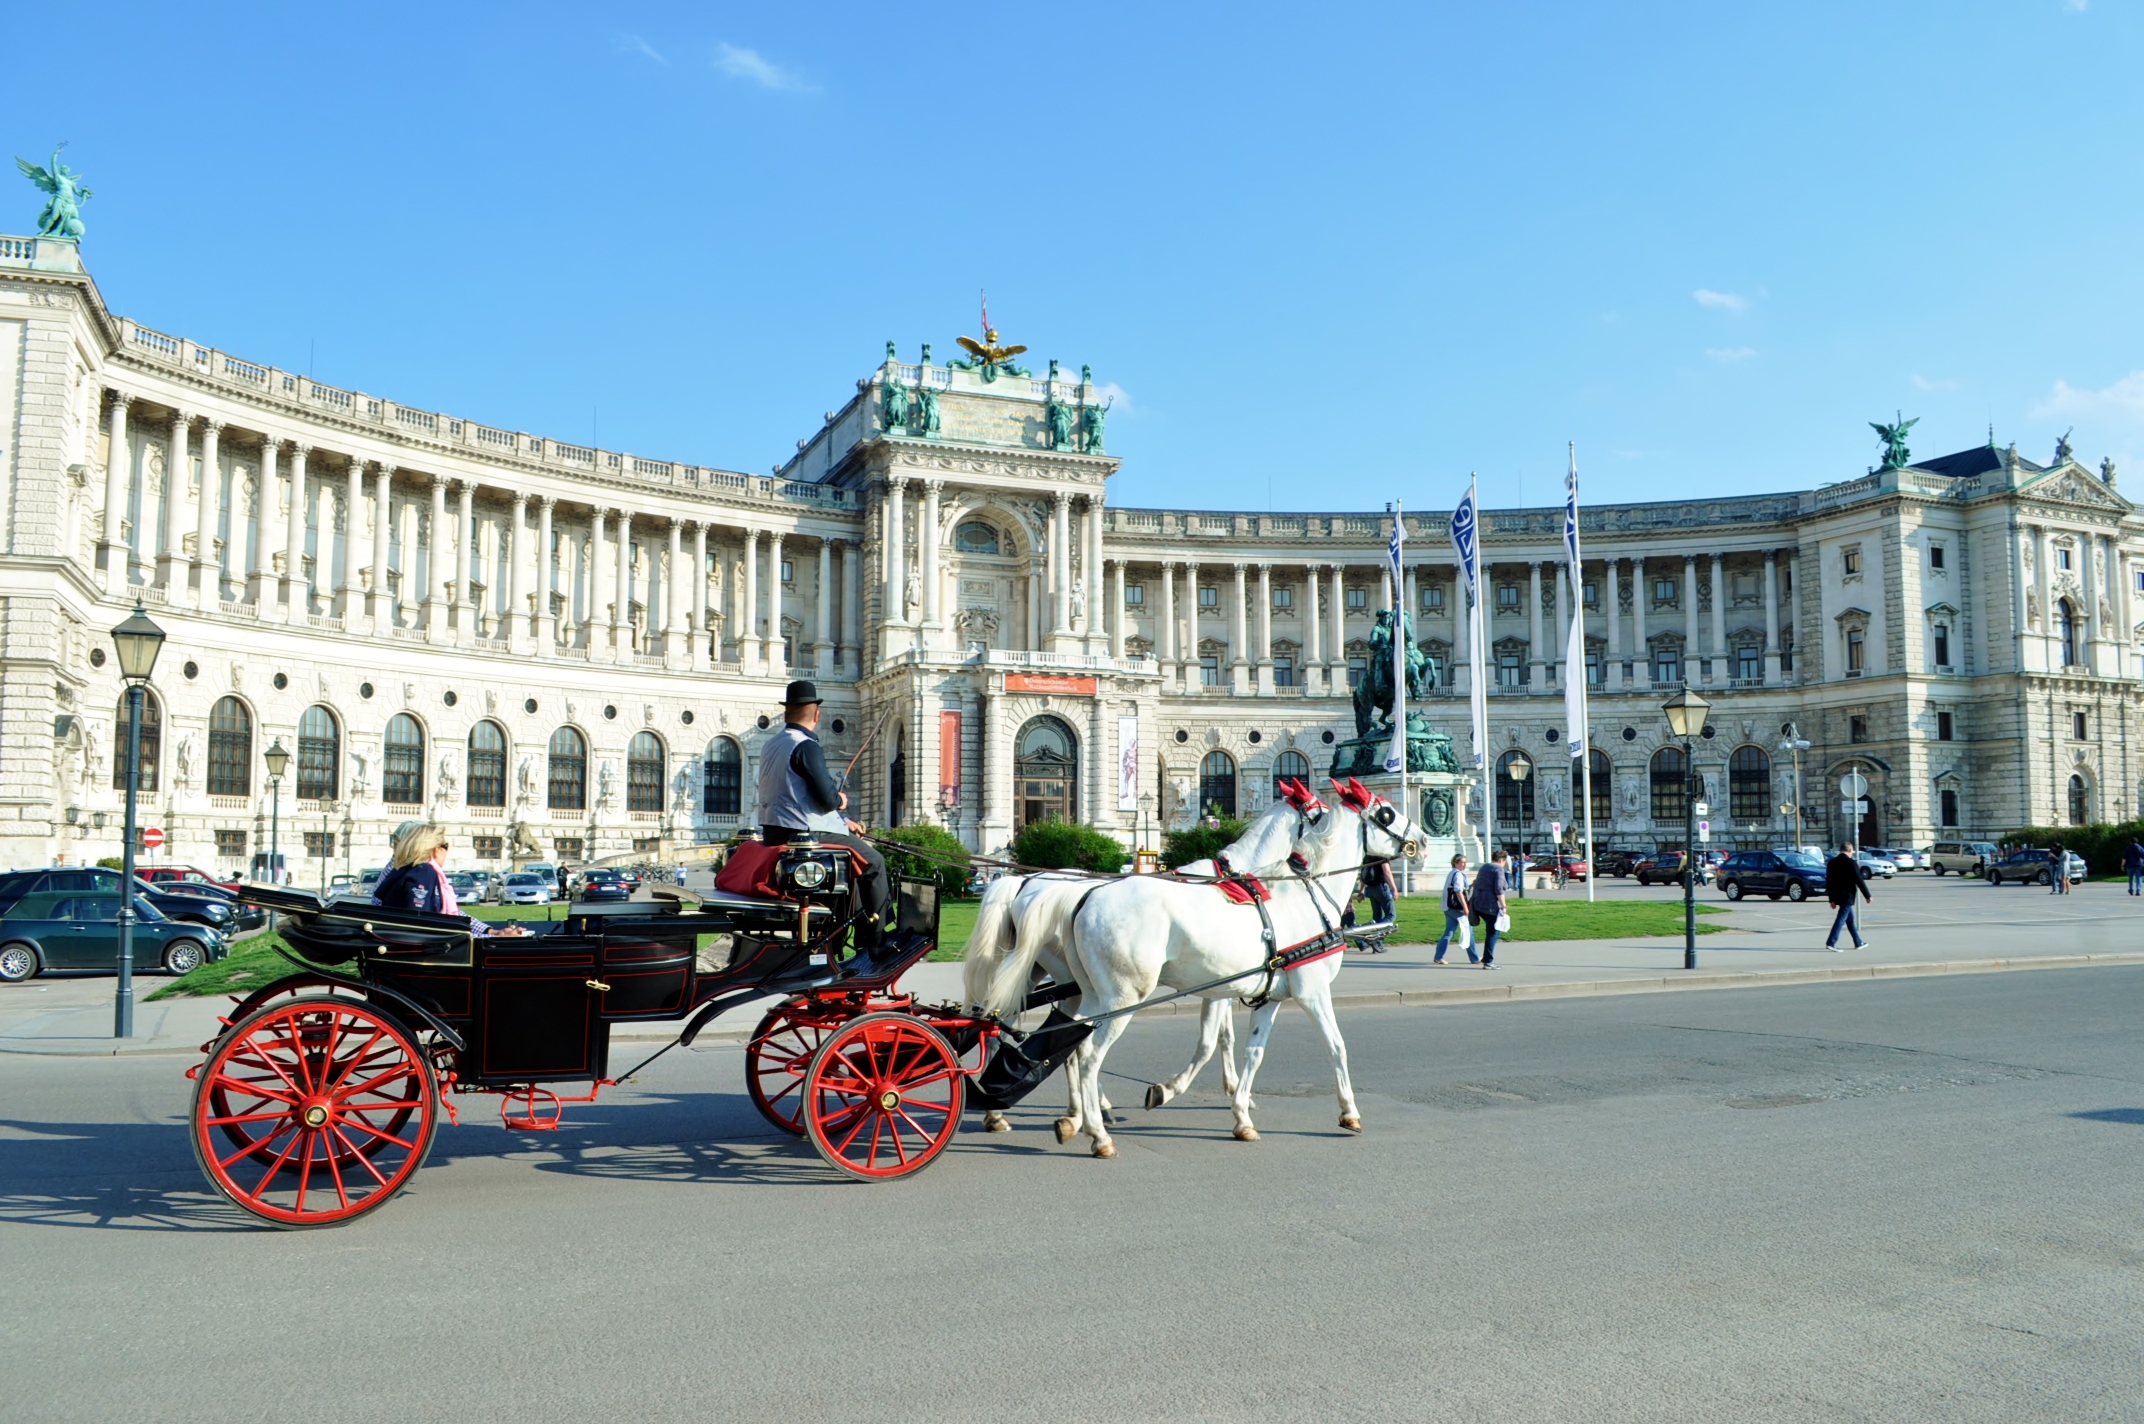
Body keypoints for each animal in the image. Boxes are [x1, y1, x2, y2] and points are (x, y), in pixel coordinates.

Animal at [973, 780, 1423, 1158]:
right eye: (1386, 812)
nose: (1421, 841)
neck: (1299, 893)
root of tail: (1075, 895)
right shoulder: (1307, 991)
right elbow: (1332, 1045)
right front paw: (1348, 1112)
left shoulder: (1258, 995)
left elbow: (1248, 1050)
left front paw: (1240, 1109)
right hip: (1118, 997)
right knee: (1084, 1054)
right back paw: (1095, 1131)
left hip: (1079, 990)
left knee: (1047, 1038)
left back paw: (1058, 1114)